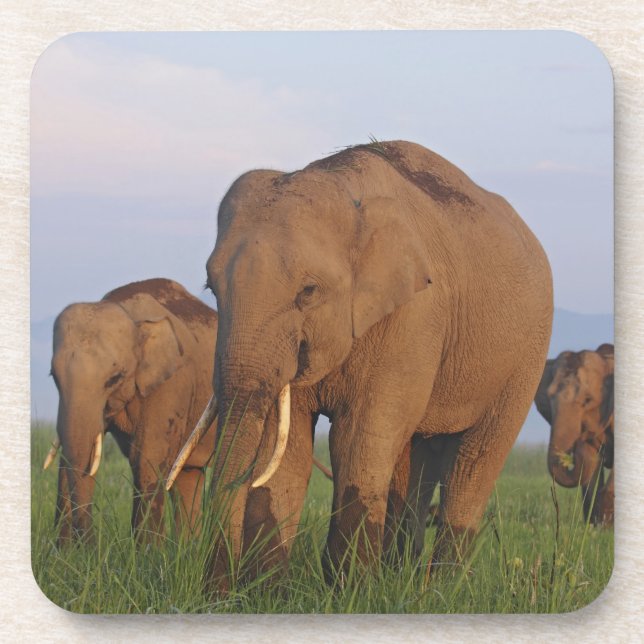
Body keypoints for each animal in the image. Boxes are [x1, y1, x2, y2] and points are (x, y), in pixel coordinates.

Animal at [45, 278, 219, 543]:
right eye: (53, 376)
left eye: (115, 378)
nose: (88, 546)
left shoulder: (171, 383)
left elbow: (146, 459)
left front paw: (148, 552)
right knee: (188, 474)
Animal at [174, 140, 553, 589]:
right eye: (211, 288)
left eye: (308, 291)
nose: (215, 591)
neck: (343, 184)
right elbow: (288, 445)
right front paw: (270, 594)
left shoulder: (414, 315)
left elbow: (358, 437)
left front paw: (347, 590)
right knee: (415, 457)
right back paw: (400, 579)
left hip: (527, 355)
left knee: (475, 460)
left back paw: (440, 589)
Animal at [534, 343, 614, 525]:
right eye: (549, 399)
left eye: (588, 400)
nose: (577, 445)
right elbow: (591, 471)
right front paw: (593, 527)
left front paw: (604, 527)